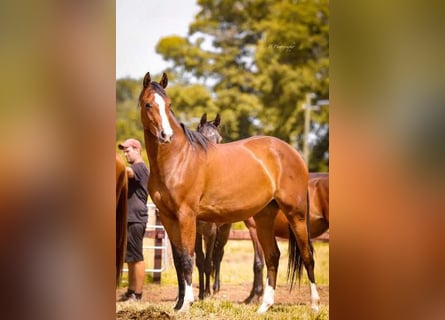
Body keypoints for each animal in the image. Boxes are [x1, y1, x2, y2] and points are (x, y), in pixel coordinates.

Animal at [139, 72, 320, 312]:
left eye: (169, 105)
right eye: (148, 104)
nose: (165, 135)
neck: (177, 158)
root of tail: (293, 153)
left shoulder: (187, 216)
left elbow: (189, 258)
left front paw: (187, 303)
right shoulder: (168, 218)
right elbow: (179, 260)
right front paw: (178, 304)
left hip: (296, 214)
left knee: (307, 256)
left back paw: (315, 305)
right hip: (264, 218)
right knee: (273, 256)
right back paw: (264, 307)